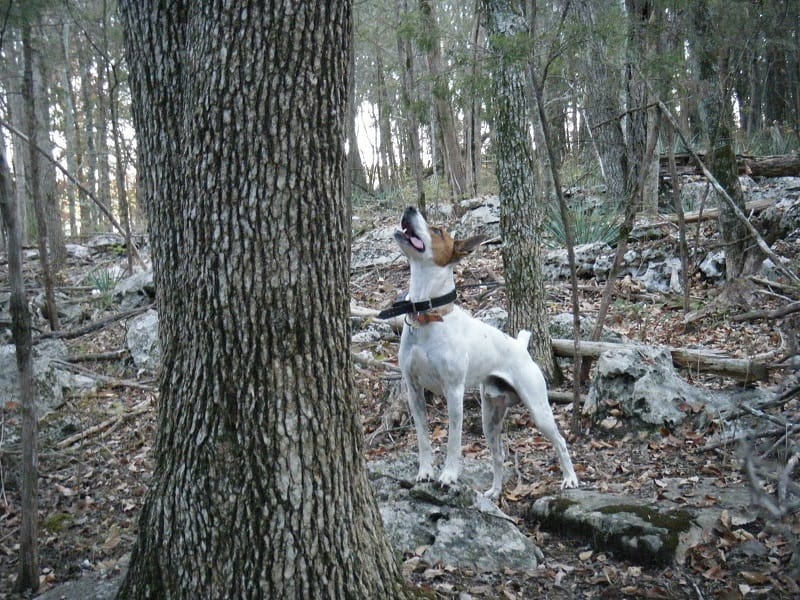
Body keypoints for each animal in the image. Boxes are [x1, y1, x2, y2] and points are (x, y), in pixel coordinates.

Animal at [378, 206, 580, 496]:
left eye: (437, 230)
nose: (410, 208)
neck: (428, 315)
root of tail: (520, 346)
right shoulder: (414, 389)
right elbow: (423, 437)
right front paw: (425, 472)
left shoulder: (454, 391)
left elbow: (454, 439)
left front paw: (448, 475)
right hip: (490, 419)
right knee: (498, 454)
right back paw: (495, 491)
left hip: (538, 408)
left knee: (561, 441)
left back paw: (570, 478)